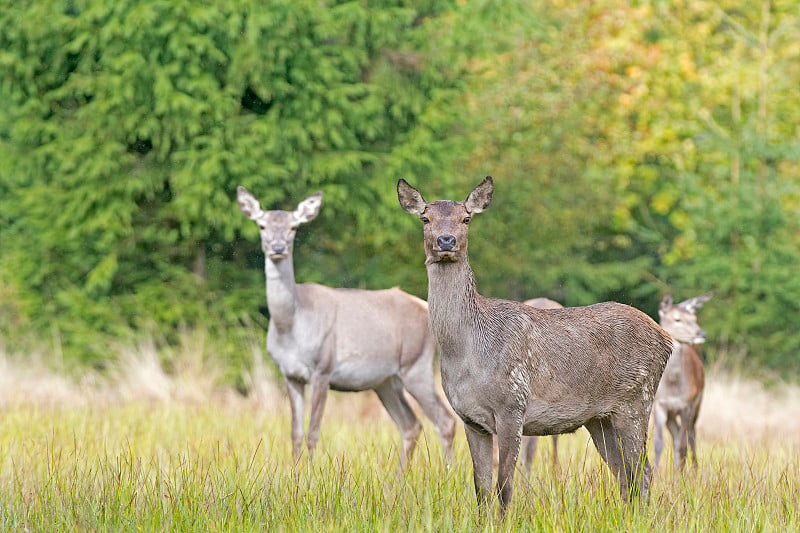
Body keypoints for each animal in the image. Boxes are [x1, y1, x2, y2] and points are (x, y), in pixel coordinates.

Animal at [236, 186, 456, 466]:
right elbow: (295, 433)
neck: (292, 326)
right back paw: (400, 475)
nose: (277, 247)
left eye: (294, 227)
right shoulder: (290, 374)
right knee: (410, 424)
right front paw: (294, 471)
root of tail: (425, 306)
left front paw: (310, 471)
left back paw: (447, 470)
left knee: (445, 420)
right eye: (262, 225)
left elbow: (313, 432)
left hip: (415, 364)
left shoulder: (323, 367)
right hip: (385, 380)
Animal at [396, 178, 672, 512]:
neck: (465, 352)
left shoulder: (512, 405)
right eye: (425, 218)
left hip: (637, 399)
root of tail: (666, 339)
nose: (446, 240)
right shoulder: (470, 419)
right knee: (625, 476)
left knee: (643, 472)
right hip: (600, 418)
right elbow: (481, 490)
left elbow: (504, 488)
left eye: (466, 218)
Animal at [652, 290, 708, 470]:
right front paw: (656, 473)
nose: (701, 334)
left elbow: (683, 445)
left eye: (694, 318)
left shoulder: (686, 405)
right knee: (676, 435)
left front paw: (680, 476)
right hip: (671, 414)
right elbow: (659, 444)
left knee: (691, 435)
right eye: (677, 319)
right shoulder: (659, 405)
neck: (673, 386)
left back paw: (694, 470)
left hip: (698, 403)